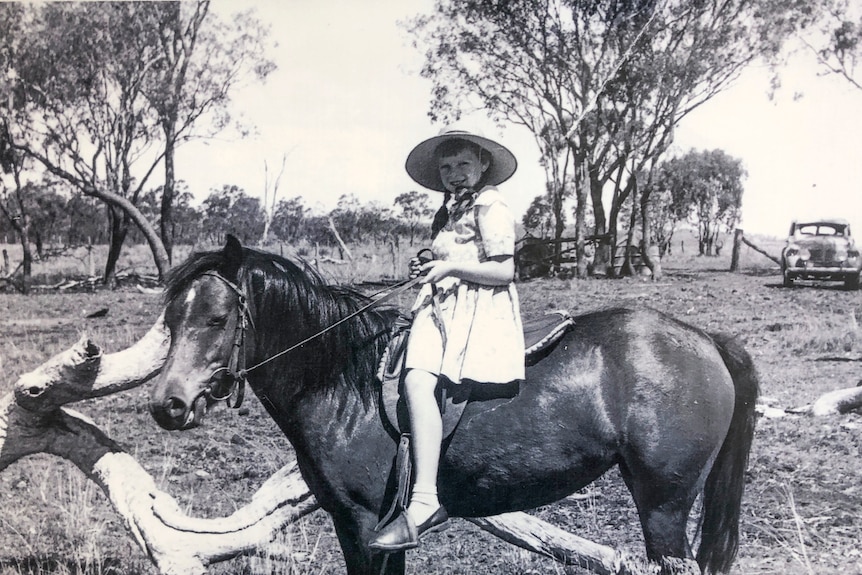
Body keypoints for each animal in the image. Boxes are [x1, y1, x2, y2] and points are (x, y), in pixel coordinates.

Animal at [152, 236, 760, 572]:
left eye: (216, 318)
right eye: (171, 318)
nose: (167, 406)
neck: (345, 384)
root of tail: (706, 340)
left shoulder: (364, 524)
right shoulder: (364, 527)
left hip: (664, 507)